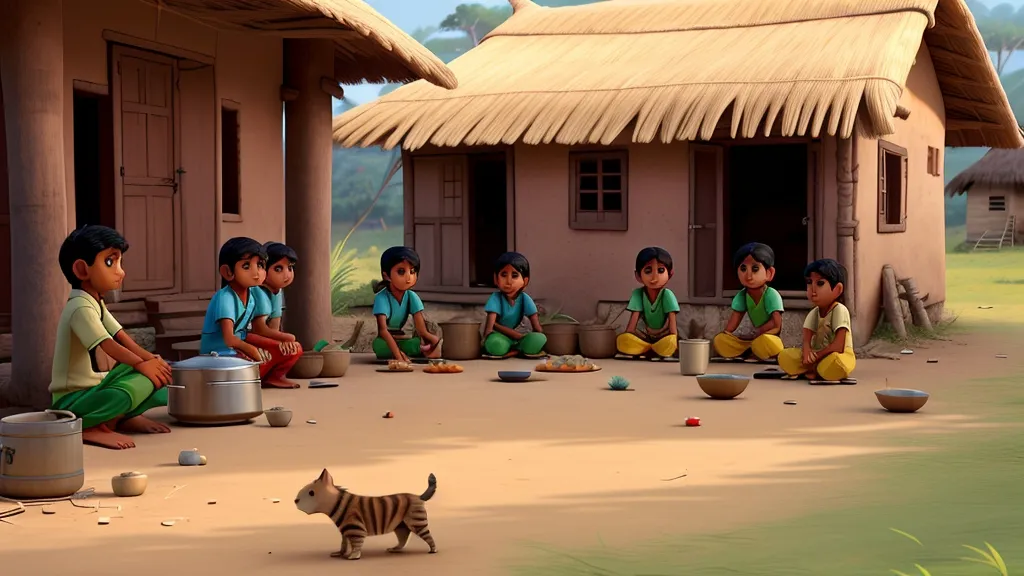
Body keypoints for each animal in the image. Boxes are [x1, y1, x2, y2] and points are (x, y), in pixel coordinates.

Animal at [296, 469, 440, 557]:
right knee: (403, 540)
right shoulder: (346, 531)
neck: (337, 504)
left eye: (311, 493)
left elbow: (356, 544)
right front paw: (340, 554)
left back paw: (433, 550)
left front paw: (353, 556)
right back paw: (394, 549)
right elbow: (344, 544)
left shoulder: (356, 528)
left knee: (428, 537)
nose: (295, 500)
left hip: (417, 522)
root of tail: (419, 497)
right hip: (400, 526)